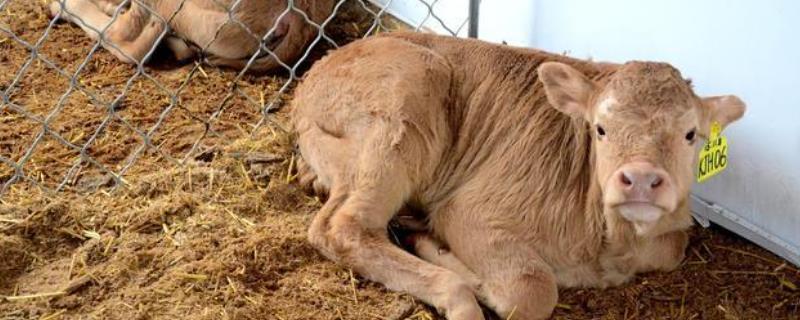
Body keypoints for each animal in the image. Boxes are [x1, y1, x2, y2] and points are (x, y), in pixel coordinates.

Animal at [290, 31, 748, 318]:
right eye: (600, 128)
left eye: (690, 134)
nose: (639, 179)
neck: (605, 242)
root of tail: (318, 69)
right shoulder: (468, 210)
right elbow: (531, 291)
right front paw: (463, 271)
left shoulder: (670, 232)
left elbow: (673, 247)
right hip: (404, 101)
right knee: (344, 226)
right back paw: (456, 296)